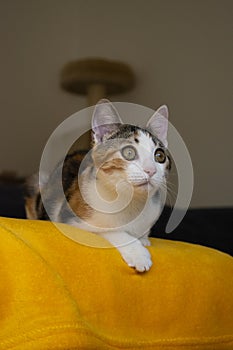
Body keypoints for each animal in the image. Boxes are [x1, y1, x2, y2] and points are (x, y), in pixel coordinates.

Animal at [25, 100, 171, 272]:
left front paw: (143, 240)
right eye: (129, 153)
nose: (151, 170)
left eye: (159, 156)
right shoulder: (70, 220)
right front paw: (138, 253)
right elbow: (108, 231)